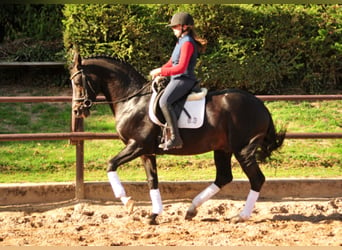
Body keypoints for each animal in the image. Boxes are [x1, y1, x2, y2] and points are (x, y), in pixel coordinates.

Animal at [70, 52, 286, 225]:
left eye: (78, 82)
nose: (77, 110)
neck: (133, 100)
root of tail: (260, 105)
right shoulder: (146, 152)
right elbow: (152, 180)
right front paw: (154, 215)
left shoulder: (136, 146)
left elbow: (111, 164)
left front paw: (128, 202)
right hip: (223, 149)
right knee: (224, 177)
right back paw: (192, 209)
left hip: (242, 150)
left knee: (256, 179)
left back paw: (240, 216)